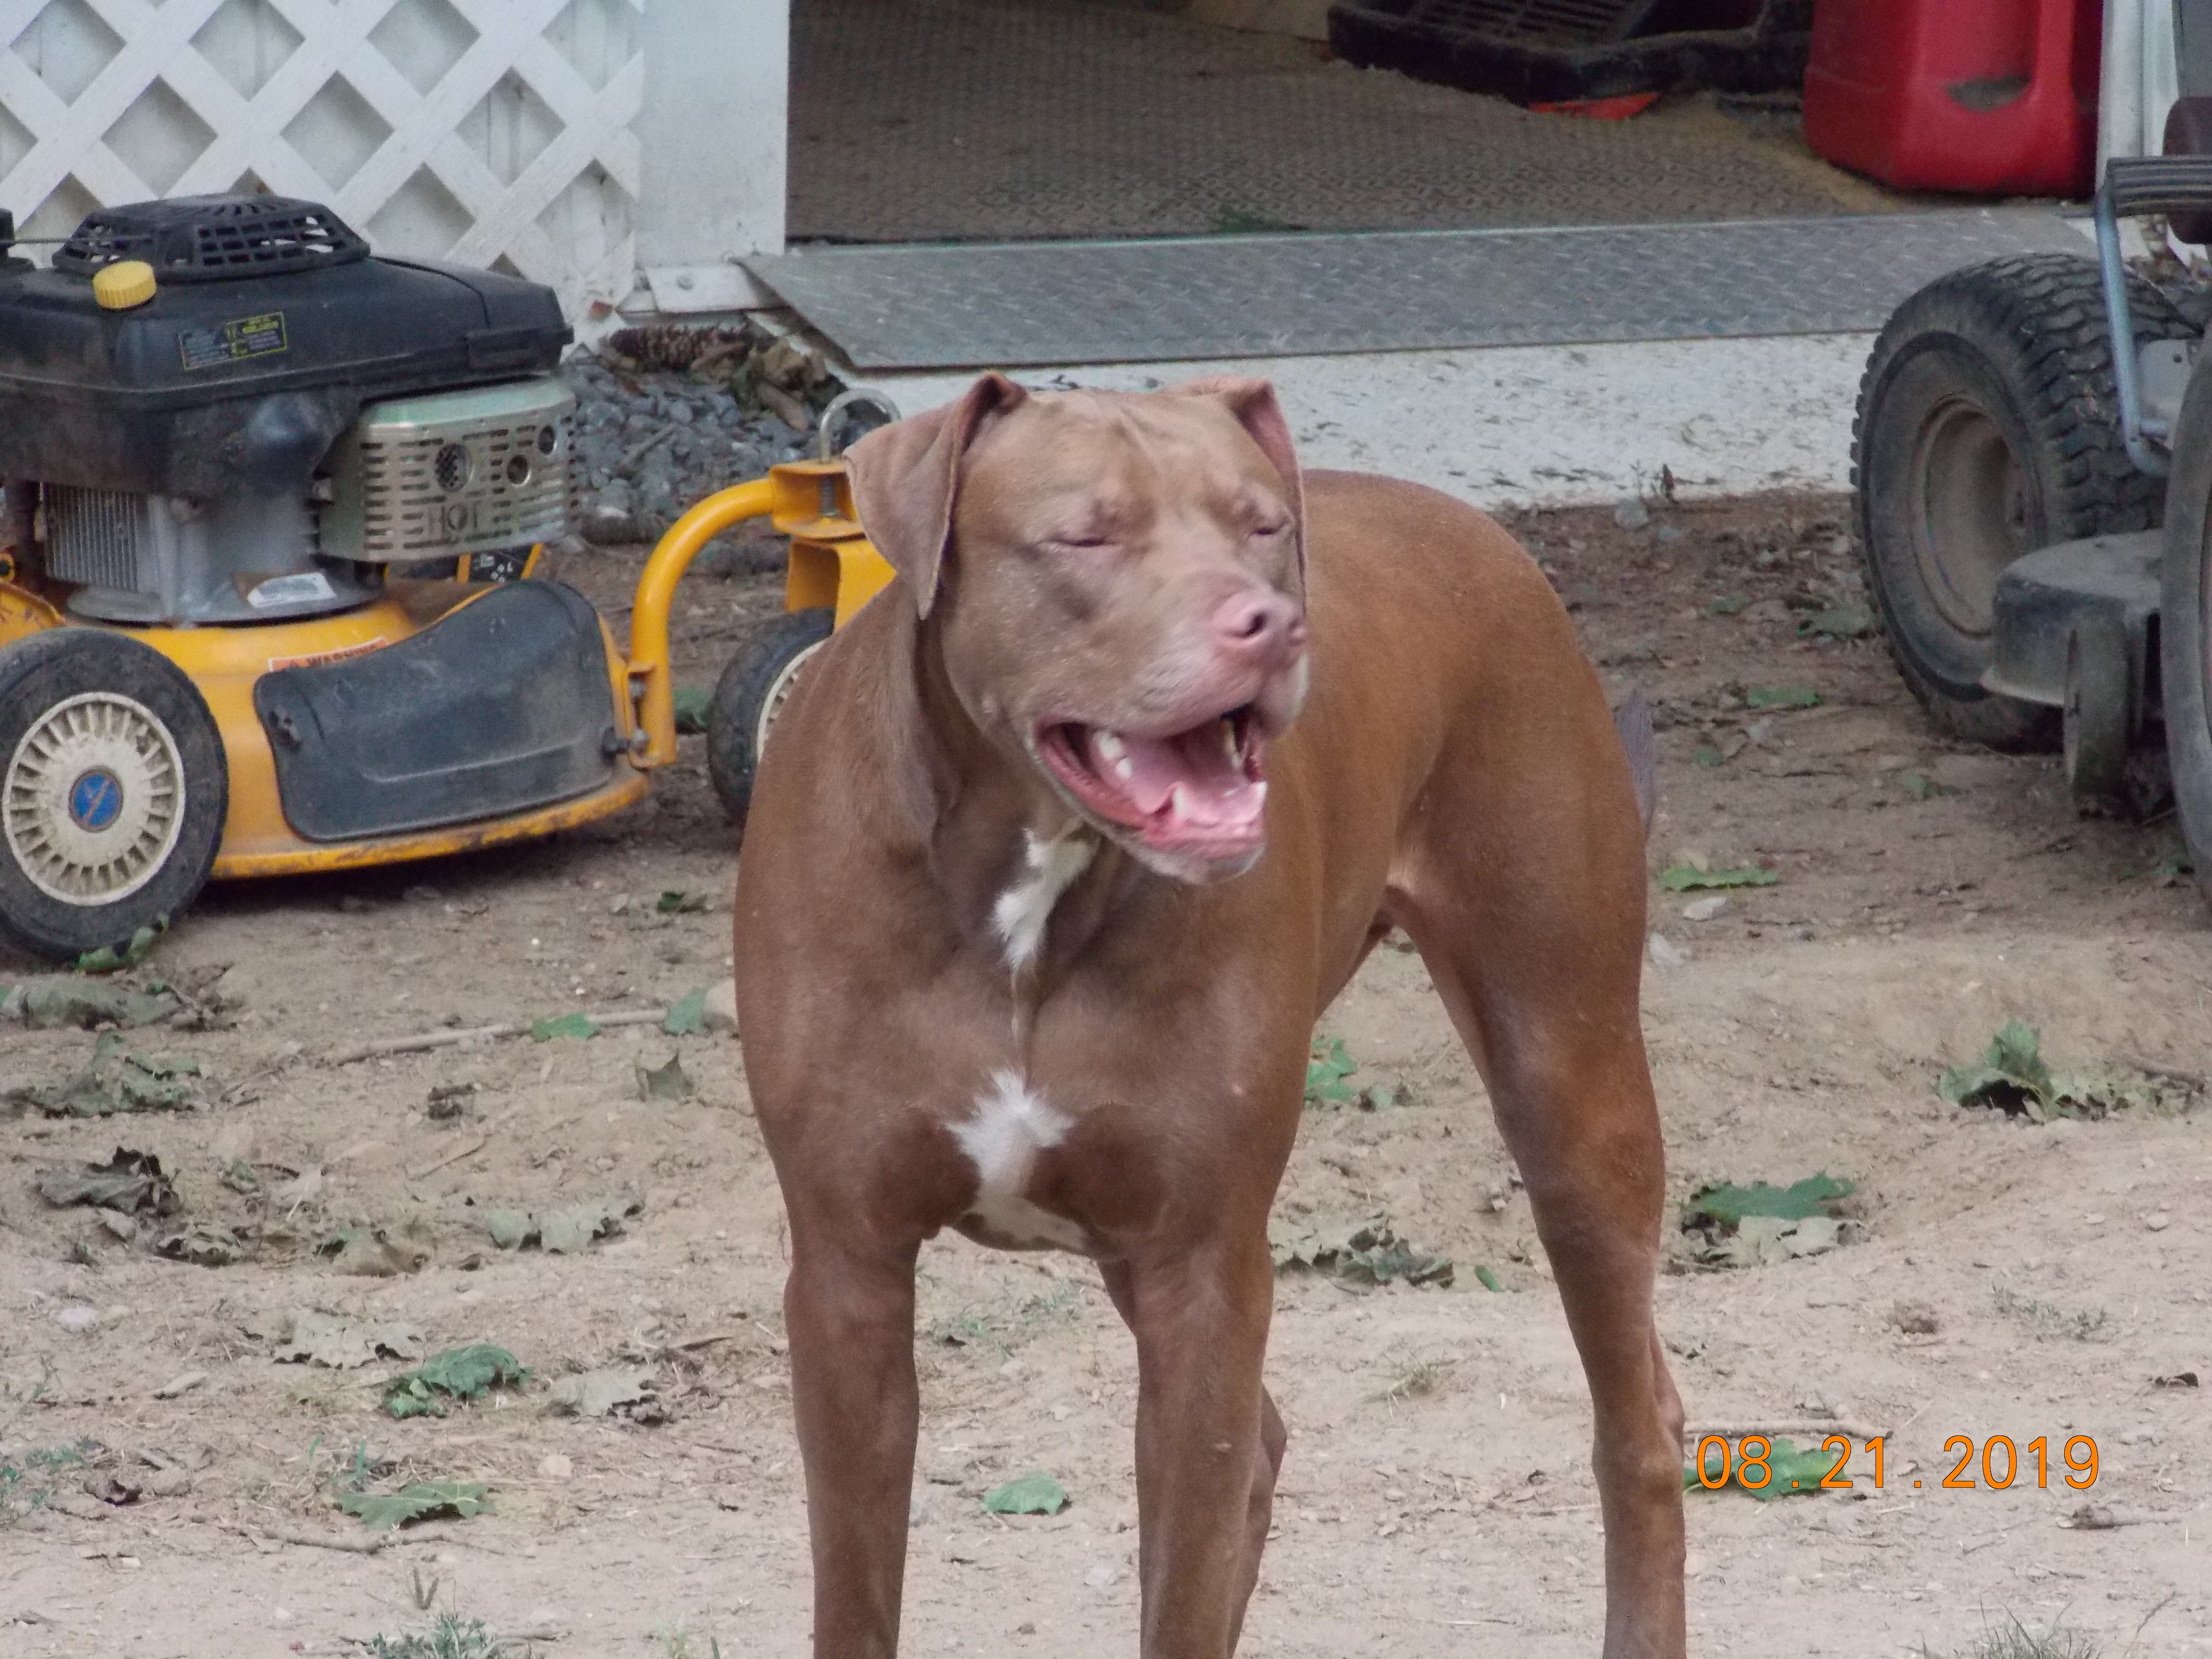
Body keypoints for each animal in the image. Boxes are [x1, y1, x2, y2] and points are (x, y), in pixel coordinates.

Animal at [734, 376, 1681, 1659]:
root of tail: (1478, 529)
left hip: (1568, 1084)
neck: (1027, 887)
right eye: (1085, 535)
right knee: (1272, 1446)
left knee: (1639, 1423)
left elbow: (1182, 1580)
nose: (1271, 625)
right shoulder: (849, 1274)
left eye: (1261, 525)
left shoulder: (1204, 1273)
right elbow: (857, 1595)